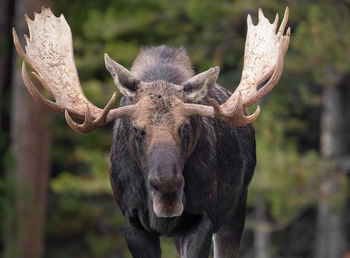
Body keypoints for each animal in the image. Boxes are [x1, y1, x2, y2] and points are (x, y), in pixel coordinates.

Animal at [13, 7, 290, 258]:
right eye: (137, 129)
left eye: (184, 126)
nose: (167, 189)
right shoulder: (132, 223)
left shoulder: (202, 220)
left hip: (236, 208)